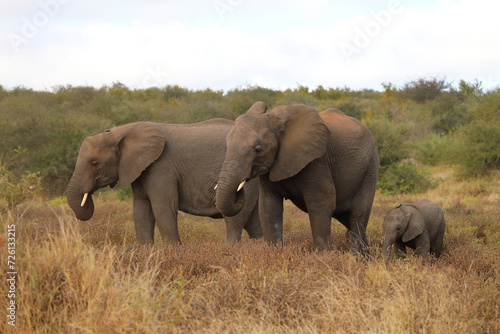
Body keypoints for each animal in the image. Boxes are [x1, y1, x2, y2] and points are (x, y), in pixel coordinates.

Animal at [66, 119, 262, 243]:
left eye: (94, 163)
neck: (119, 132)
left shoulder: (161, 167)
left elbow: (163, 208)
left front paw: (174, 254)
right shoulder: (141, 169)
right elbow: (141, 211)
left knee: (235, 221)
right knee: (252, 222)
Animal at [215, 100, 378, 254]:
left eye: (258, 149)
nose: (240, 188)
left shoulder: (316, 160)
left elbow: (321, 202)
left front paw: (322, 256)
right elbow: (269, 206)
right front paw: (273, 252)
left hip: (370, 168)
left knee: (358, 215)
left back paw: (355, 258)